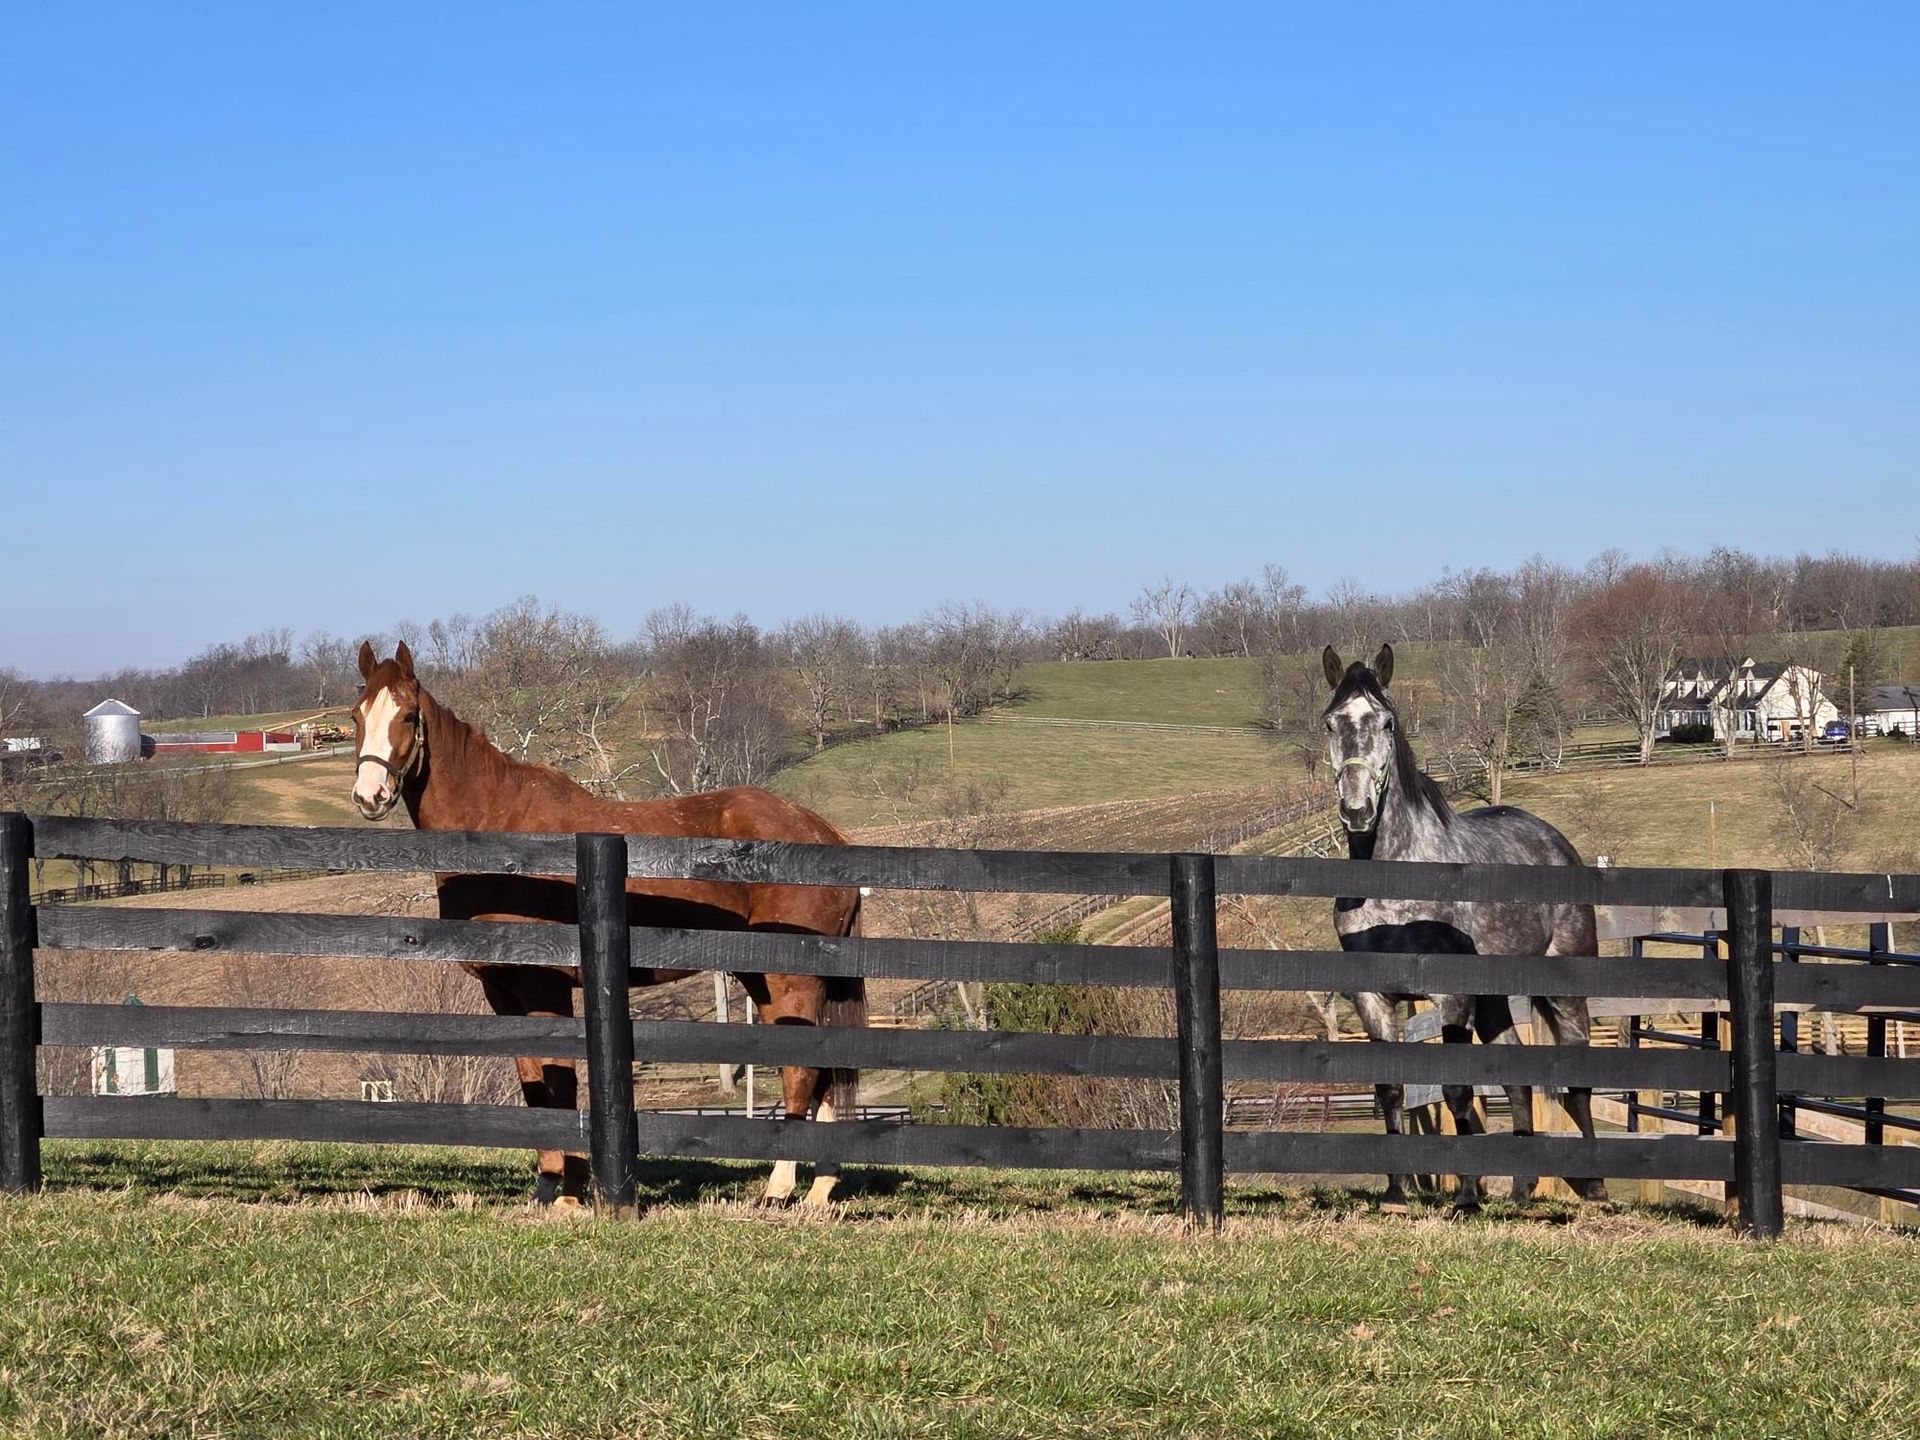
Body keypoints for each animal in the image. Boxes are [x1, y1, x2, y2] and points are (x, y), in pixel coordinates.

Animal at [348, 641, 865, 1210]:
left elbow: (559, 1085)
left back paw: (779, 1188)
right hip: (768, 978)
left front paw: (571, 1192)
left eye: (408, 715)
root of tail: (825, 833)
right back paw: (819, 1189)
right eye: (356, 716)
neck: (503, 840)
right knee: (820, 1071)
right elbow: (533, 1086)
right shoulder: (502, 993)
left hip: (791, 979)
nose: (369, 795)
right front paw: (547, 1189)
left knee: (802, 1070)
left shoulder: (544, 987)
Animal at [1321, 643, 1605, 1212]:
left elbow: (1457, 1091)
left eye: (1387, 722)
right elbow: (1390, 1090)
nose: (1357, 809)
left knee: (1577, 1081)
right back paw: (1521, 1189)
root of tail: (1554, 840)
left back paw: (1595, 1187)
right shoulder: (1372, 997)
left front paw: (1468, 1197)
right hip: (1494, 999)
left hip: (1564, 988)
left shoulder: (1450, 995)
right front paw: (1396, 1193)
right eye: (1330, 723)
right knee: (1516, 1078)